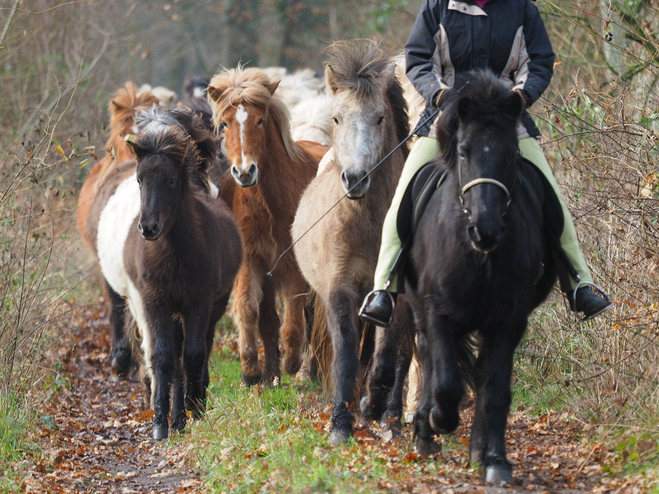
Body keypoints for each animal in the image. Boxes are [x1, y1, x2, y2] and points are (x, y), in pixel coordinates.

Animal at [96, 108, 244, 440]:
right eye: (140, 180)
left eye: (172, 180)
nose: (148, 227)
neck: (174, 256)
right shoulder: (154, 303)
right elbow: (164, 357)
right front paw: (162, 423)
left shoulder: (198, 304)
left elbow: (192, 355)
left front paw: (192, 409)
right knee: (172, 358)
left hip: (211, 308)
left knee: (199, 350)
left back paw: (193, 403)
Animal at [209, 66, 328, 386]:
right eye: (225, 124)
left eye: (260, 120)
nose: (244, 172)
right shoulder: (252, 259)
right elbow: (249, 309)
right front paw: (251, 369)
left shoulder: (293, 264)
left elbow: (296, 317)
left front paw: (293, 363)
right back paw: (271, 373)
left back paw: (306, 370)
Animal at [364, 71, 560, 484]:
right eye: (465, 151)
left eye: (512, 156)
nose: (485, 229)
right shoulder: (438, 312)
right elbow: (446, 382)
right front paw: (438, 421)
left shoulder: (508, 321)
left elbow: (496, 389)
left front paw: (494, 460)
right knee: (428, 359)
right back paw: (425, 430)